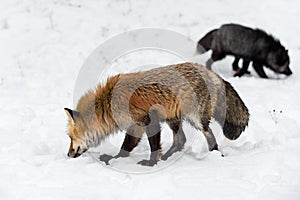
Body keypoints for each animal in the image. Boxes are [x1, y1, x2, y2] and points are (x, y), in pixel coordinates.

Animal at [64, 62, 250, 166]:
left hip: (196, 118)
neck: (107, 104)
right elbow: (127, 146)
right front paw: (116, 159)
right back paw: (167, 158)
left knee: (209, 134)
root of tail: (211, 73)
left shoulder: (149, 119)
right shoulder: (136, 124)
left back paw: (215, 155)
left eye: (71, 137)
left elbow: (151, 146)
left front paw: (151, 163)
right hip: (173, 119)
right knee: (180, 140)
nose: (68, 154)